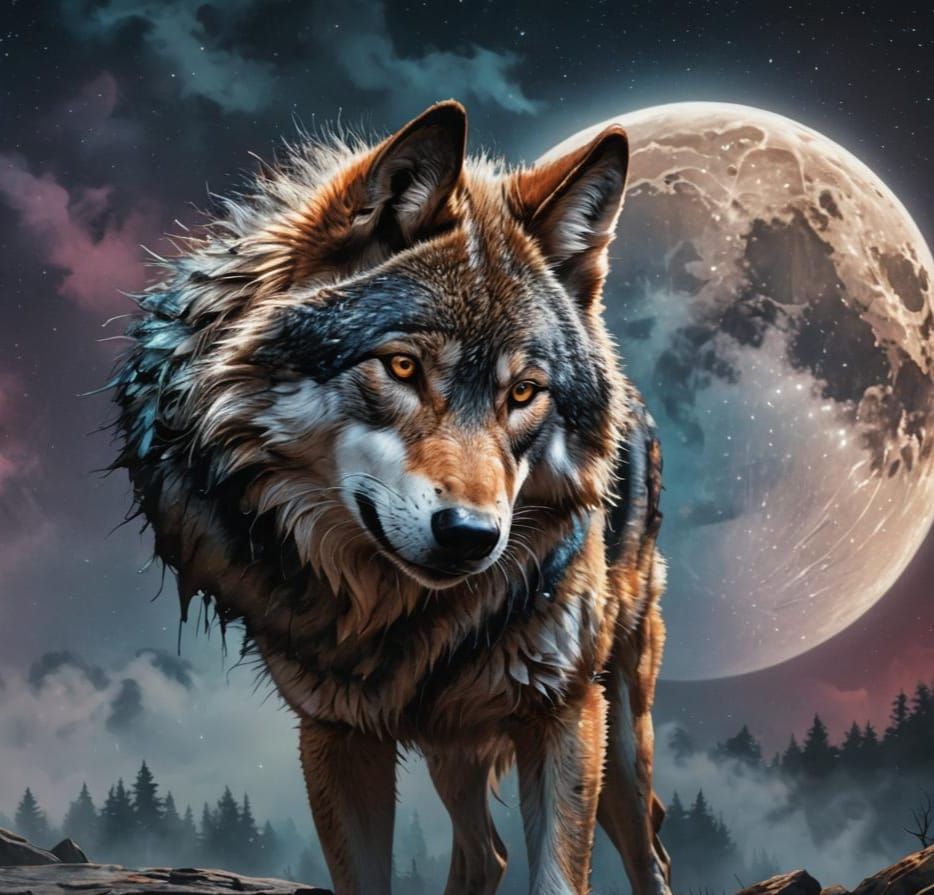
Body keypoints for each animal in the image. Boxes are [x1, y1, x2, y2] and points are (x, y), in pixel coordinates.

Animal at [111, 100, 671, 895]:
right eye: (403, 366)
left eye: (523, 393)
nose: (472, 535)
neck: (400, 617)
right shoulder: (335, 732)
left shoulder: (562, 708)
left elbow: (559, 877)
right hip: (455, 739)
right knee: (487, 850)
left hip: (617, 719)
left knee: (646, 846)